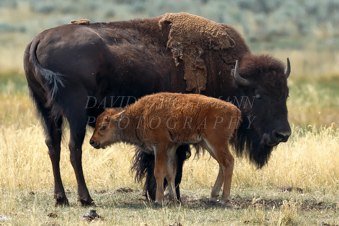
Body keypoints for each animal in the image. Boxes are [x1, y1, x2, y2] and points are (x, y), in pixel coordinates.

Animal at [89, 92, 240, 206]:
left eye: (103, 126)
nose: (92, 141)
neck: (139, 116)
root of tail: (235, 110)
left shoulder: (160, 147)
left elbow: (159, 172)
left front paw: (158, 200)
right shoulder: (170, 148)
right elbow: (170, 172)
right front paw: (173, 200)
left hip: (216, 143)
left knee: (228, 162)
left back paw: (224, 200)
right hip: (207, 144)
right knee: (222, 165)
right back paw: (214, 196)